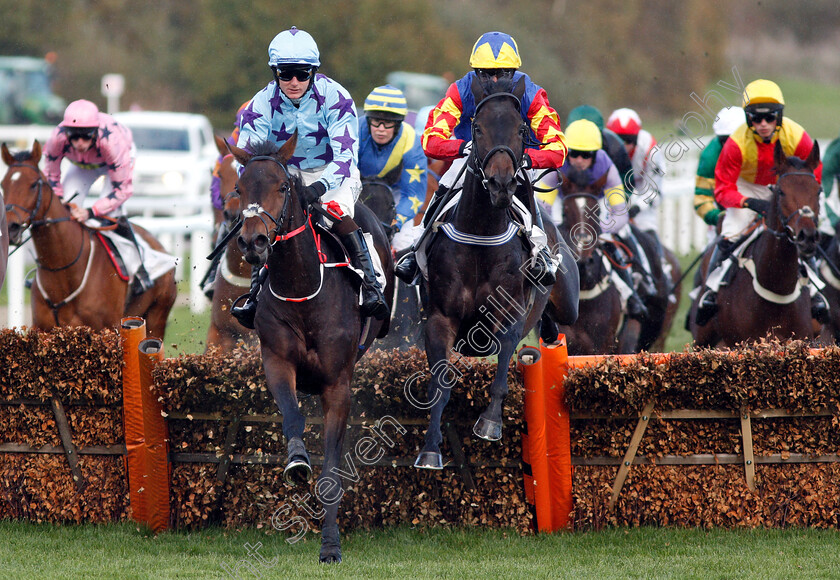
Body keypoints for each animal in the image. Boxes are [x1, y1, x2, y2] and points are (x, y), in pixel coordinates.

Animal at [1, 142, 176, 338]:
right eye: (3, 185)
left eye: (33, 185)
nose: (10, 227)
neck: (64, 271)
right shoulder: (43, 329)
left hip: (157, 317)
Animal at [228, 136, 396, 560]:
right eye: (239, 188)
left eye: (282, 187)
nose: (253, 242)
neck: (302, 286)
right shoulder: (277, 362)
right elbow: (291, 417)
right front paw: (297, 462)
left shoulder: (337, 385)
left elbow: (333, 468)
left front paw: (330, 545)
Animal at [412, 73, 576, 472]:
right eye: (476, 127)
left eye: (520, 128)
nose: (502, 183)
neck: (481, 234)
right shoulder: (440, 318)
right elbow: (439, 384)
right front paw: (431, 449)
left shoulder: (510, 314)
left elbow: (503, 368)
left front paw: (489, 423)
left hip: (562, 299)